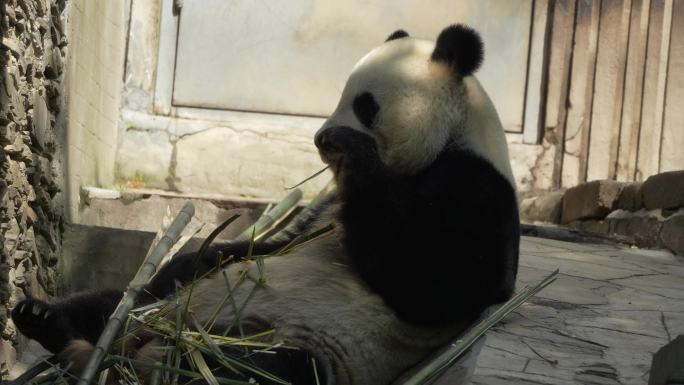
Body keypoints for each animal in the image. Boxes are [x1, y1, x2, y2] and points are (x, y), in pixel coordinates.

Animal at [10, 24, 520, 384]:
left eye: (365, 105)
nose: (322, 138)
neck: (453, 137)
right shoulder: (326, 209)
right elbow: (265, 247)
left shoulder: (476, 187)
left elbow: (436, 279)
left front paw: (353, 149)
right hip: (167, 304)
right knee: (129, 297)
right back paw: (47, 319)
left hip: (313, 346)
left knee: (256, 370)